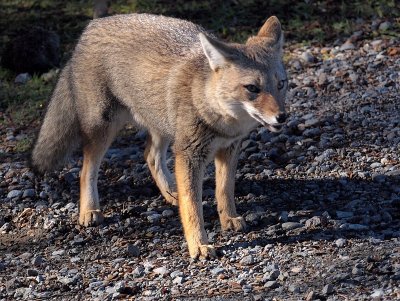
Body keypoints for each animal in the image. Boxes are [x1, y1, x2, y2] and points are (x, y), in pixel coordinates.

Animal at [32, 13, 288, 258]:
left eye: (281, 84)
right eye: (252, 88)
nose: (282, 117)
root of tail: (92, 26)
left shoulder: (229, 147)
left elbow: (224, 189)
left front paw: (228, 219)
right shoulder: (189, 155)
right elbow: (193, 207)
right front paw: (199, 245)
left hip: (161, 124)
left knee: (150, 155)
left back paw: (171, 192)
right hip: (103, 130)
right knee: (86, 171)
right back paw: (89, 210)